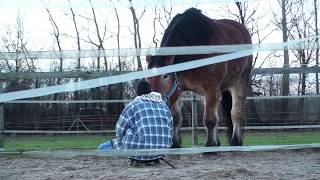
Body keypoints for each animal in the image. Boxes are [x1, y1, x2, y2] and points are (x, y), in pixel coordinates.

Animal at [146, 8, 252, 148]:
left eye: (165, 76)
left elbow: (210, 120)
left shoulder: (211, 89)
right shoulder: (178, 89)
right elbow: (176, 118)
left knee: (236, 114)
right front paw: (175, 143)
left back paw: (236, 140)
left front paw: (210, 144)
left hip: (239, 81)